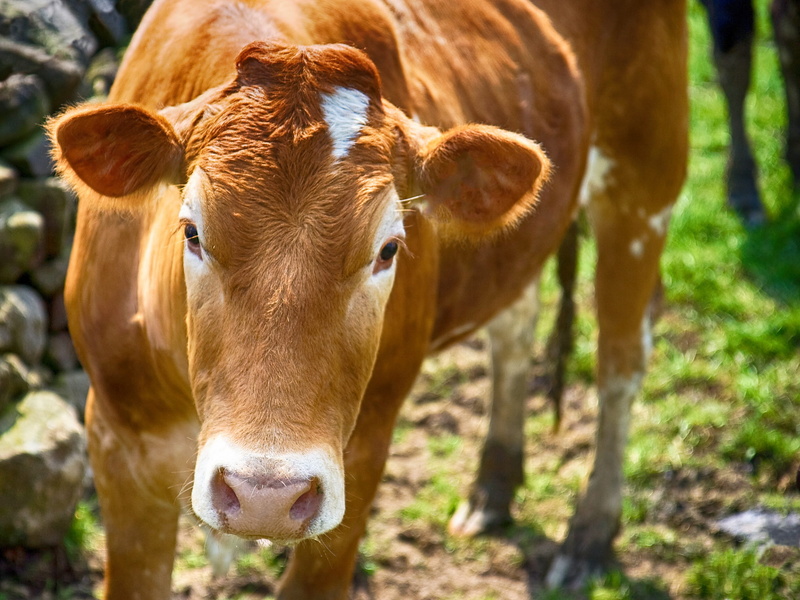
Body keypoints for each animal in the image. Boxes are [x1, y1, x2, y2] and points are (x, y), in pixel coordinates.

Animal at [49, 0, 688, 598]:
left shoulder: (364, 451)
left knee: (620, 362)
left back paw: (590, 536)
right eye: (191, 232)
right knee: (514, 328)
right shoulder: (115, 440)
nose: (264, 496)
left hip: (645, 179)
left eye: (388, 248)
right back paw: (494, 486)